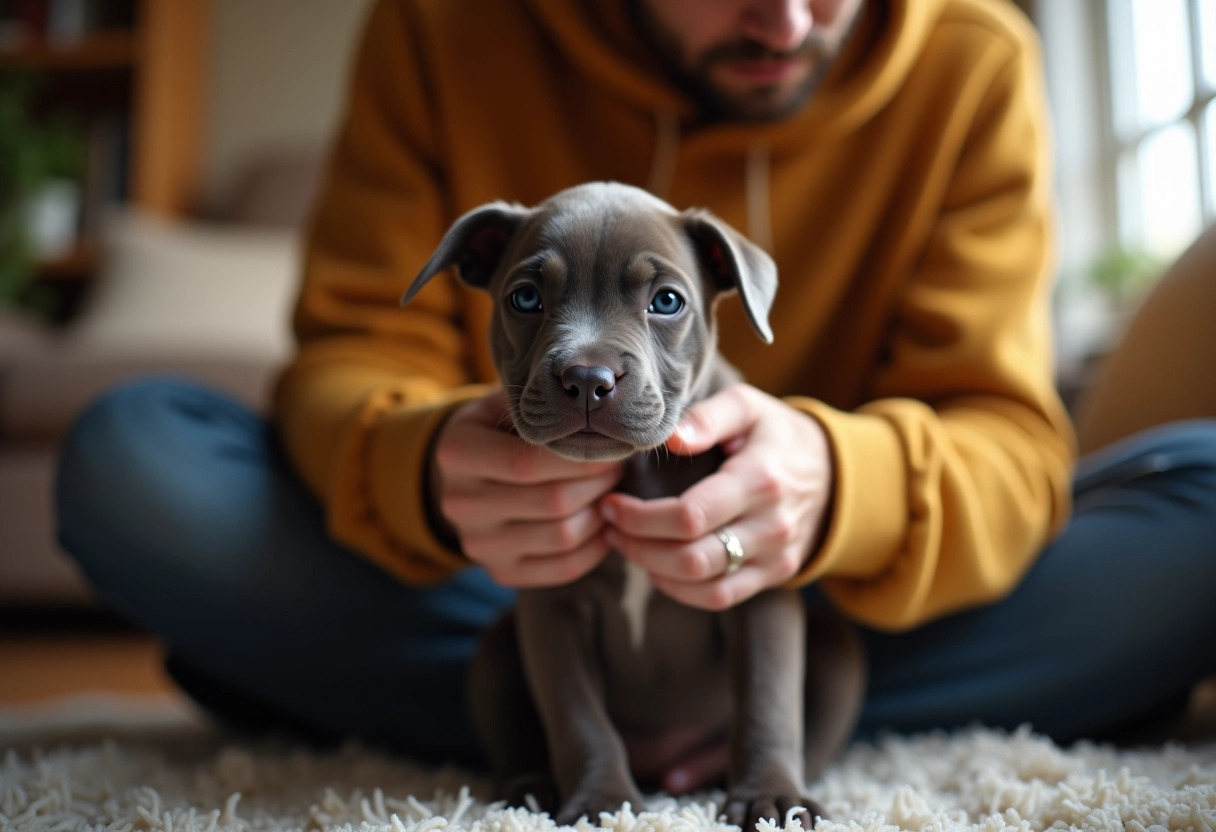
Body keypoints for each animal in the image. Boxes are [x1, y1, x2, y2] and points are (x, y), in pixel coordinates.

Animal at [403, 184, 860, 827]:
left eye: (666, 301)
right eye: (525, 298)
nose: (587, 379)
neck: (638, 469)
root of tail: (665, 765)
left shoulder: (758, 593)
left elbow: (768, 700)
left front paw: (771, 799)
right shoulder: (554, 607)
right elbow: (578, 718)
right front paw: (602, 802)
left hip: (838, 651)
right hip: (495, 652)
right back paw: (529, 791)